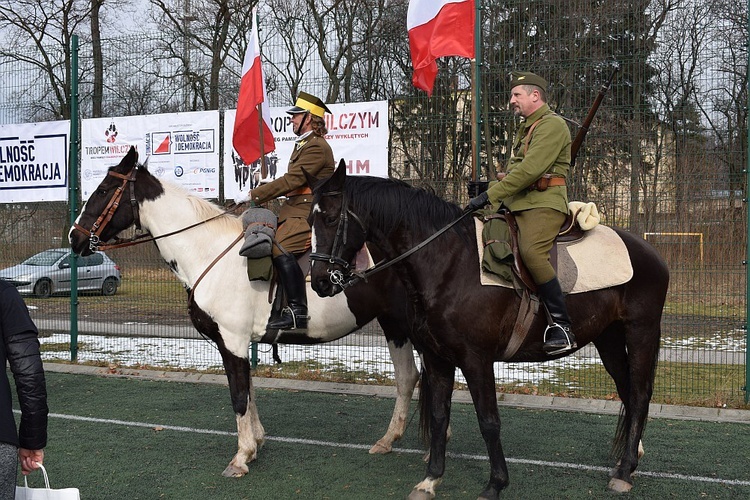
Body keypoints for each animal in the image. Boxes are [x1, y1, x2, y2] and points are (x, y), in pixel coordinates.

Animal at [308, 162, 672, 498]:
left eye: (330, 218)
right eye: (309, 220)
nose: (320, 282)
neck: (449, 263)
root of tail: (650, 252)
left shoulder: (476, 359)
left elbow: (489, 421)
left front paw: (495, 483)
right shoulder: (437, 358)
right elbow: (439, 417)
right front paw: (430, 479)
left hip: (640, 331)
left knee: (640, 394)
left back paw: (624, 472)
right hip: (607, 338)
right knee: (627, 390)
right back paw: (629, 460)